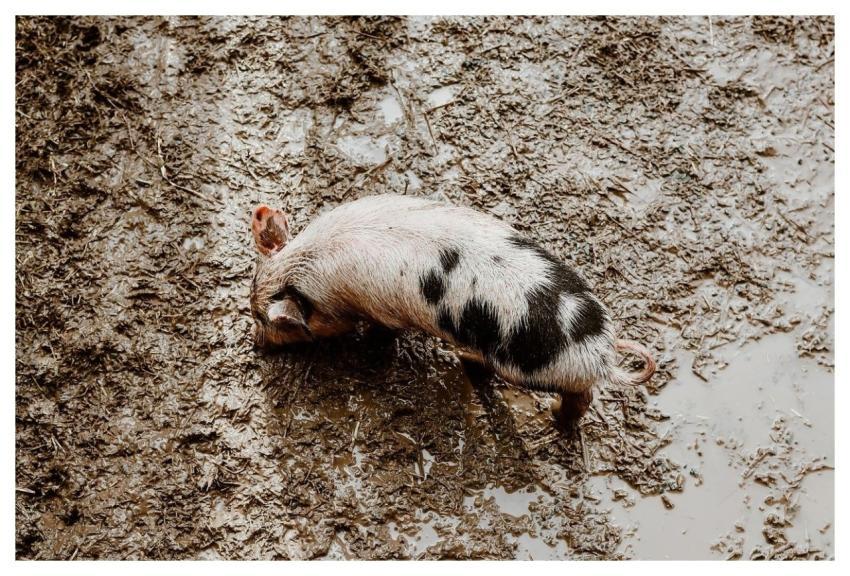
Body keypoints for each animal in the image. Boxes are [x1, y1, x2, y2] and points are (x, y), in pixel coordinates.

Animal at [249, 194, 655, 428]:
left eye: (266, 320)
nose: (255, 344)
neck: (313, 273)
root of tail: (602, 352)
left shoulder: (380, 309)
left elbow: (382, 336)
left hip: (531, 368)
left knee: (579, 396)